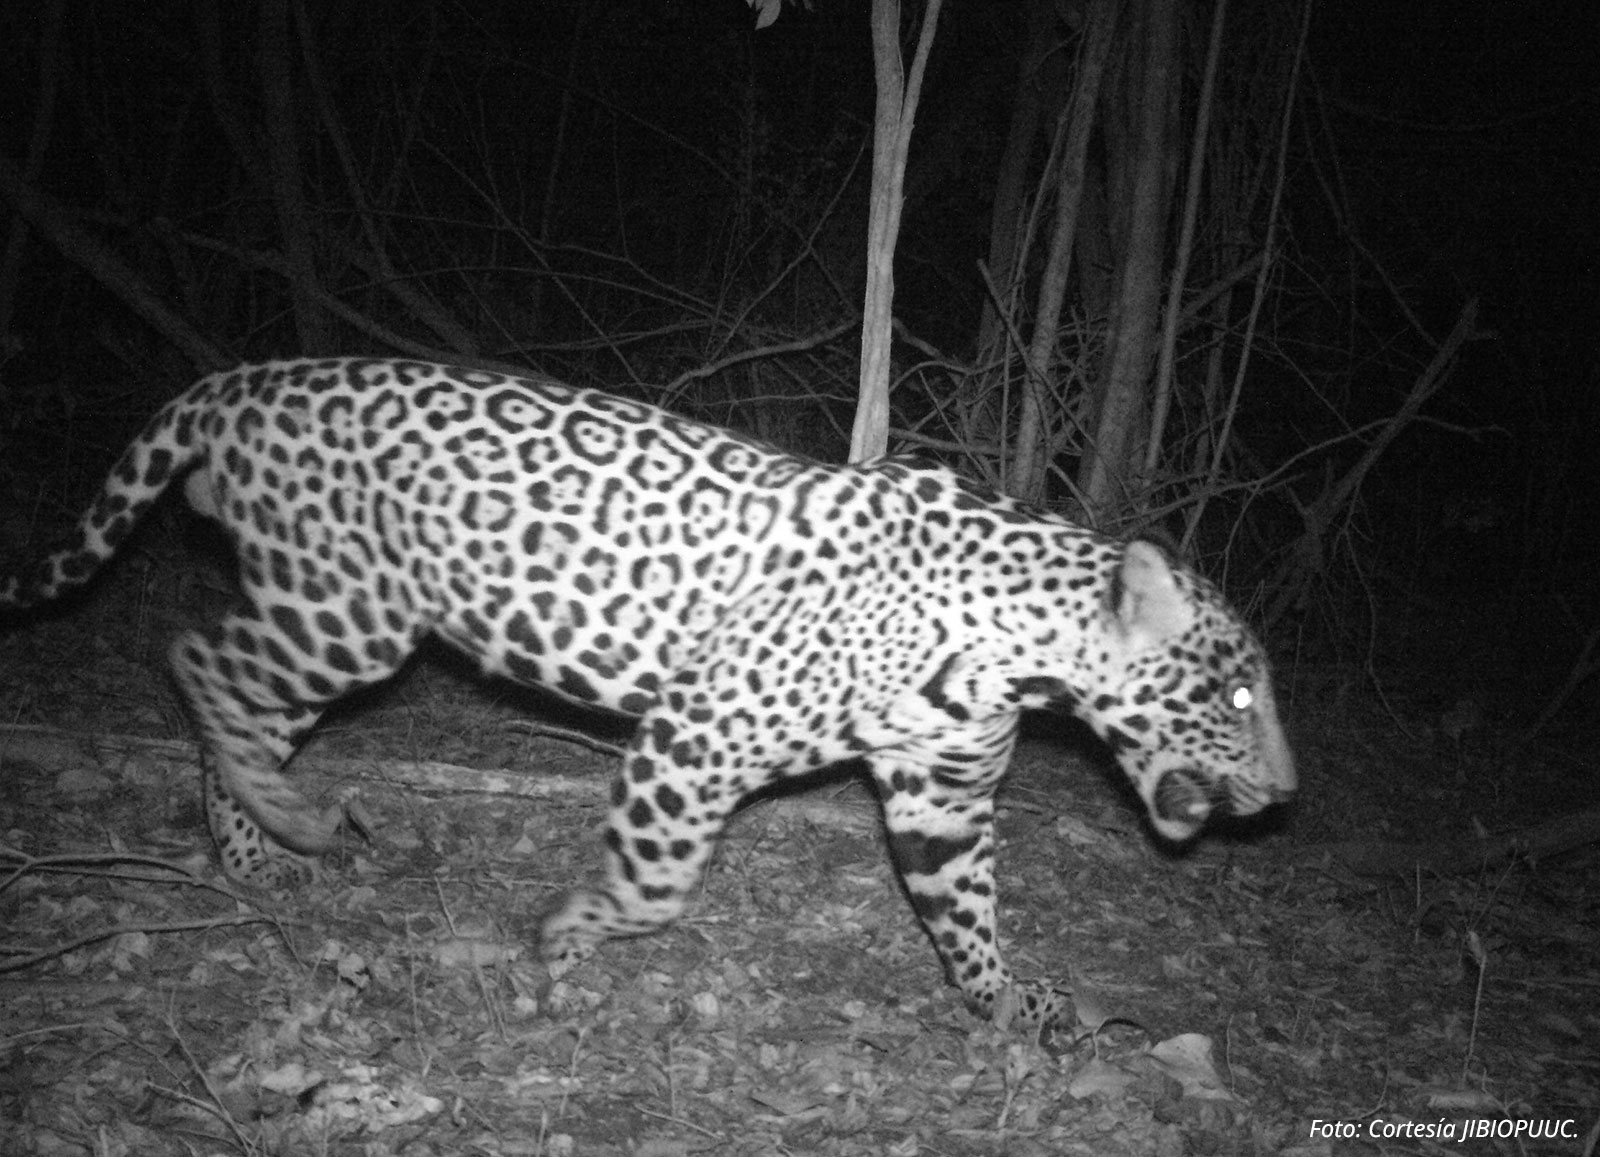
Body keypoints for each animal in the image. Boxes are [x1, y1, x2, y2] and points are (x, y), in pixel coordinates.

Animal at [0, 358, 1296, 1028]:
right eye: (1236, 699)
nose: (1288, 794)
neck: (1015, 648)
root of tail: (241, 377)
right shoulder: (694, 734)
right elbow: (662, 883)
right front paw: (569, 933)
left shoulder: (943, 790)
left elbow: (964, 904)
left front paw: (1005, 1000)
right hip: (349, 613)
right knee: (195, 660)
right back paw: (288, 820)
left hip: (324, 617)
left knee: (239, 701)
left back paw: (255, 849)